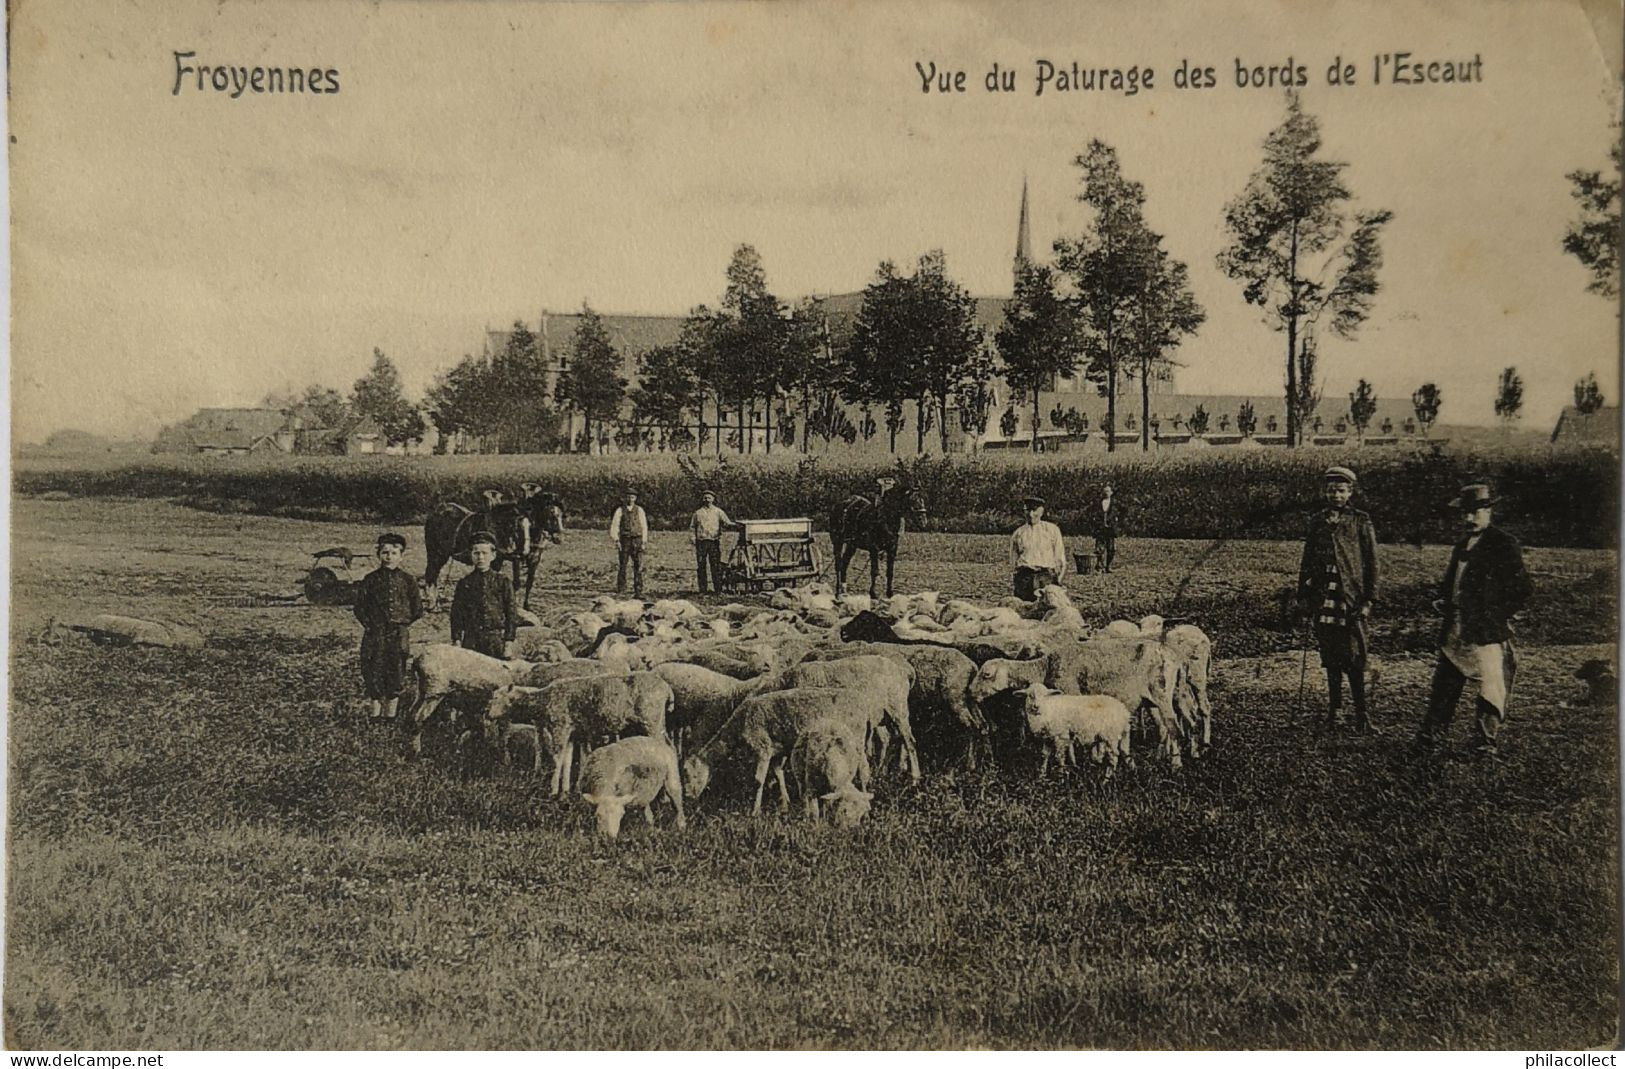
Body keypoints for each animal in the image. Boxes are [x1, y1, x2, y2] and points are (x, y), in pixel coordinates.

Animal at [487, 666, 679, 789]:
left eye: (496, 698)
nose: (488, 715)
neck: (544, 699)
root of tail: (667, 689)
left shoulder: (560, 728)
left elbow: (558, 758)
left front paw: (553, 789)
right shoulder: (573, 733)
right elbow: (567, 760)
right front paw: (565, 791)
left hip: (651, 721)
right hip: (660, 722)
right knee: (672, 748)